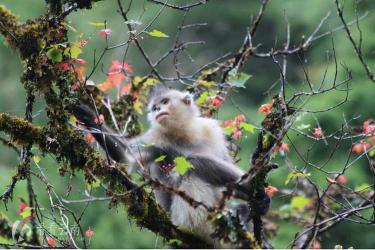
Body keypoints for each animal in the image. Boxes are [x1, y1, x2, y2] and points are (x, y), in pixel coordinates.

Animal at [74, 83, 270, 246]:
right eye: (155, 107)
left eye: (165, 102)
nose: (158, 109)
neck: (184, 134)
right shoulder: (155, 138)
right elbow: (127, 158)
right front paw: (89, 117)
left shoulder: (209, 130)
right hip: (189, 218)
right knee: (195, 163)